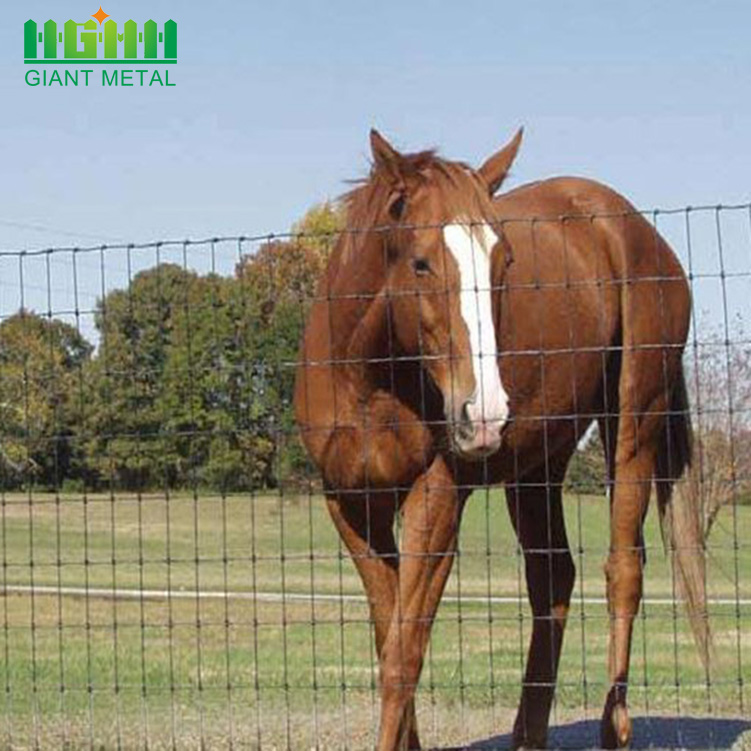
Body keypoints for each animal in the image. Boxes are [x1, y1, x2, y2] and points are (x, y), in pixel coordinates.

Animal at [292, 131, 704, 751]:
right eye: (420, 262)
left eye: (503, 260)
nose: (483, 413)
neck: (369, 378)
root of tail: (636, 230)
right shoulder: (353, 506)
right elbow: (388, 636)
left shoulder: (437, 500)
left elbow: (403, 657)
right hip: (537, 466)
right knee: (553, 580)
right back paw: (529, 735)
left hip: (633, 425)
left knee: (623, 571)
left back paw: (614, 728)